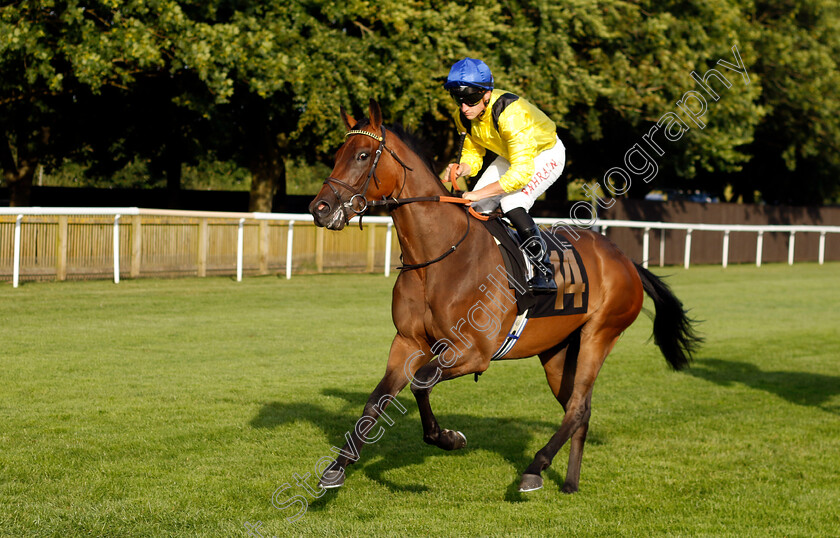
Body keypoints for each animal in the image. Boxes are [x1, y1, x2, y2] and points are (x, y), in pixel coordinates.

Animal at [306, 98, 700, 492]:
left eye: (363, 155)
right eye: (338, 154)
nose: (319, 209)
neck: (439, 256)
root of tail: (625, 260)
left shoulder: (473, 352)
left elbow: (421, 383)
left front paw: (448, 438)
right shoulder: (407, 342)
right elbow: (376, 400)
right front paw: (336, 468)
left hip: (599, 335)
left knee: (577, 407)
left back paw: (534, 468)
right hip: (556, 351)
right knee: (578, 408)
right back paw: (569, 482)